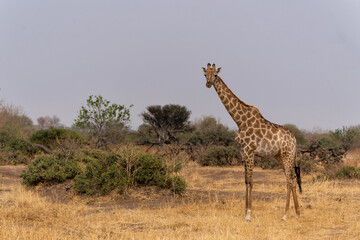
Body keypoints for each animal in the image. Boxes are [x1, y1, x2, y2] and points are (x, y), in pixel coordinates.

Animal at [201, 62, 302, 221]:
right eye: (205, 74)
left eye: (215, 74)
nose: (208, 83)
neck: (240, 121)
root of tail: (294, 139)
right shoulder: (243, 151)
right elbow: (246, 181)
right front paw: (245, 212)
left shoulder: (249, 151)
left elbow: (251, 181)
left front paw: (248, 214)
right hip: (279, 156)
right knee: (290, 177)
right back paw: (297, 213)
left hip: (288, 154)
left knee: (289, 179)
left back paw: (285, 214)